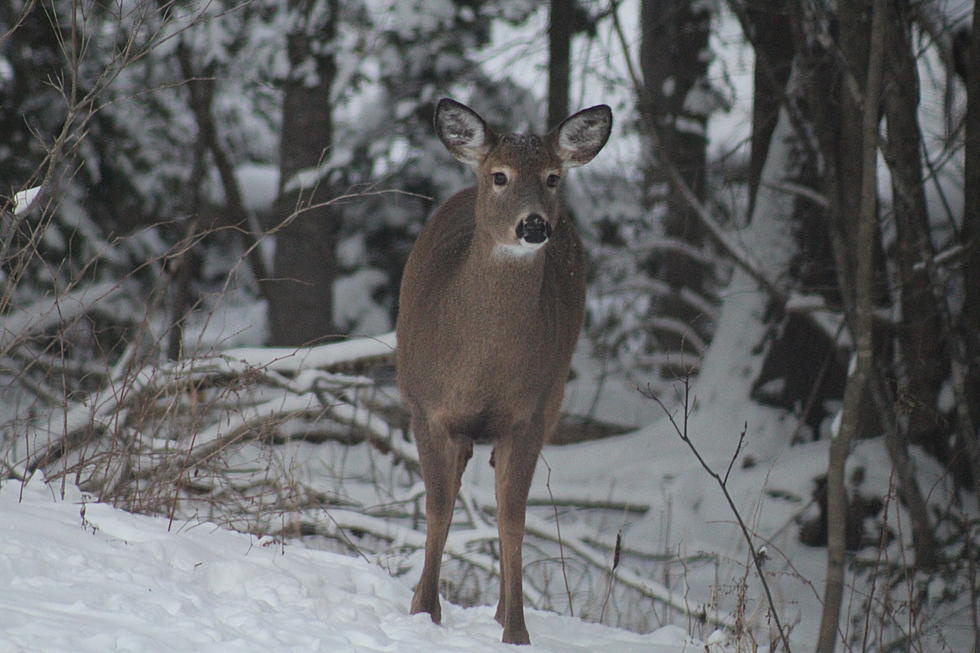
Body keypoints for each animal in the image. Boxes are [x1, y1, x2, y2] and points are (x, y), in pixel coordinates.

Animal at [392, 97, 608, 640]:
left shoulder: (529, 414)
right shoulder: (426, 408)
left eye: (552, 177)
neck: (479, 368)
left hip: (554, 397)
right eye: (500, 176)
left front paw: (516, 630)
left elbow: (513, 518)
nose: (534, 226)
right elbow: (438, 507)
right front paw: (424, 611)